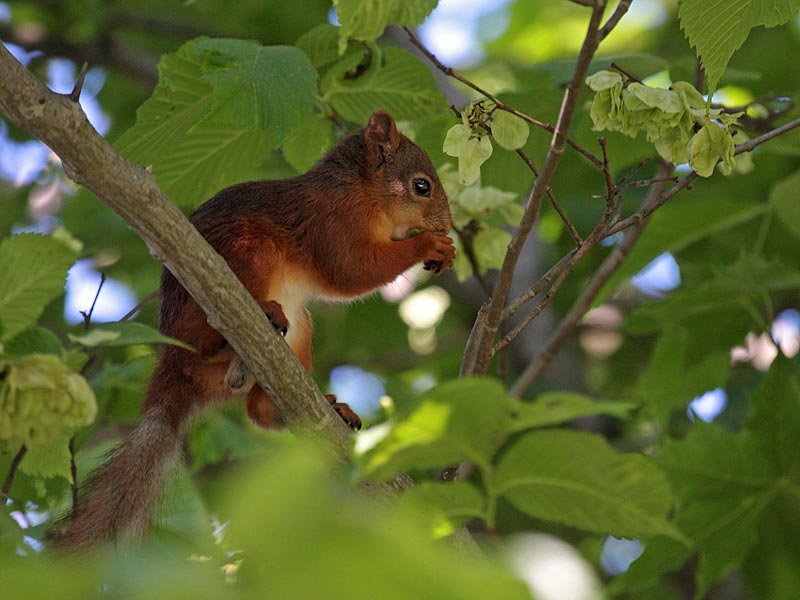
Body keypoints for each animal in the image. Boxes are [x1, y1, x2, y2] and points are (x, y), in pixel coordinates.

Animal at [51, 110, 456, 552]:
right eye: (422, 185)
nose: (449, 224)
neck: (361, 188)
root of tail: (174, 361)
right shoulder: (333, 221)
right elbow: (350, 270)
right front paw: (429, 245)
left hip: (299, 328)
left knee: (259, 411)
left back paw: (327, 407)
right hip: (247, 252)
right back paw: (245, 325)